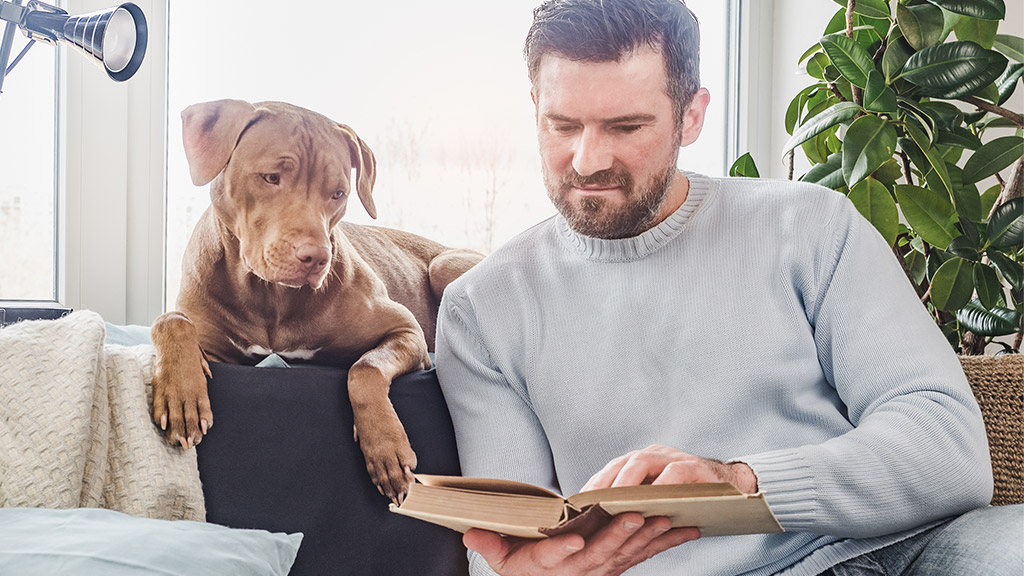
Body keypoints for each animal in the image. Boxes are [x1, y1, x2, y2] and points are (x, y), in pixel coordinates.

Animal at [150, 98, 483, 498]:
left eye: (338, 193)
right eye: (270, 177)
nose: (316, 257)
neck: (271, 296)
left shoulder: (406, 331)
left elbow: (365, 367)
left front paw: (386, 446)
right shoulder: (214, 347)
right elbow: (170, 321)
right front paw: (181, 394)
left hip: (446, 267)